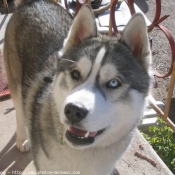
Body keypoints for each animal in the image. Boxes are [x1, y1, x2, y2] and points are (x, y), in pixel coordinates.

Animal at [3, 0, 152, 174]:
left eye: (114, 83)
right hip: (15, 80)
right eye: (75, 73)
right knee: (20, 111)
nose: (74, 111)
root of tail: (34, 2)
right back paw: (23, 139)